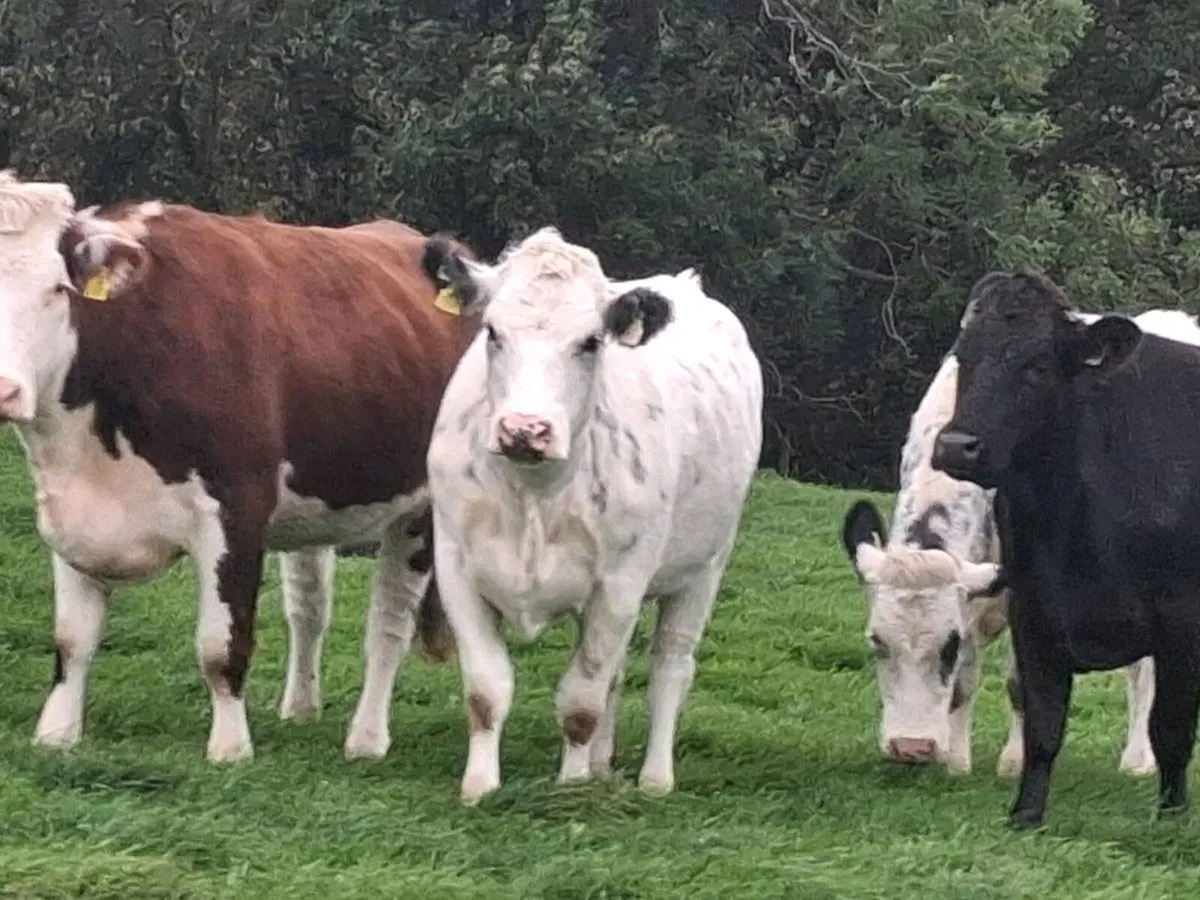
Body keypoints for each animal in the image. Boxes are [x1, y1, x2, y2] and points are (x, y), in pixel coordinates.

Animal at [0, 172, 475, 764]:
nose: (3, 389)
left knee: (389, 623)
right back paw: (301, 708)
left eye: (55, 290)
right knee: (309, 608)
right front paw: (56, 735)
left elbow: (220, 645)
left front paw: (230, 749)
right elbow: (71, 639)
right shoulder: (72, 509)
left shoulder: (235, 512)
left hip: (420, 509)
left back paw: (366, 738)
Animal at [421, 226, 763, 804]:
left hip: (704, 569)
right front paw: (480, 786)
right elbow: (488, 692)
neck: (534, 491)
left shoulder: (620, 582)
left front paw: (572, 785)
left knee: (669, 666)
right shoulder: (457, 568)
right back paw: (604, 764)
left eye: (589, 342)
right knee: (618, 673)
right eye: (492, 332)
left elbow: (581, 701)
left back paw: (654, 778)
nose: (524, 429)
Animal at [839, 306, 1200, 776]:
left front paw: (1013, 760)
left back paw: (1138, 759)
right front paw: (957, 759)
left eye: (948, 645)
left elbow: (1019, 682)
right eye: (876, 642)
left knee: (1144, 671)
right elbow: (968, 681)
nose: (910, 748)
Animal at [930, 270, 1200, 828]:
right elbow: (1043, 721)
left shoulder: (1182, 617)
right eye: (965, 357)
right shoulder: (1034, 605)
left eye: (1037, 367)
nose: (956, 446)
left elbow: (1171, 728)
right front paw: (1026, 813)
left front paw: (1172, 816)